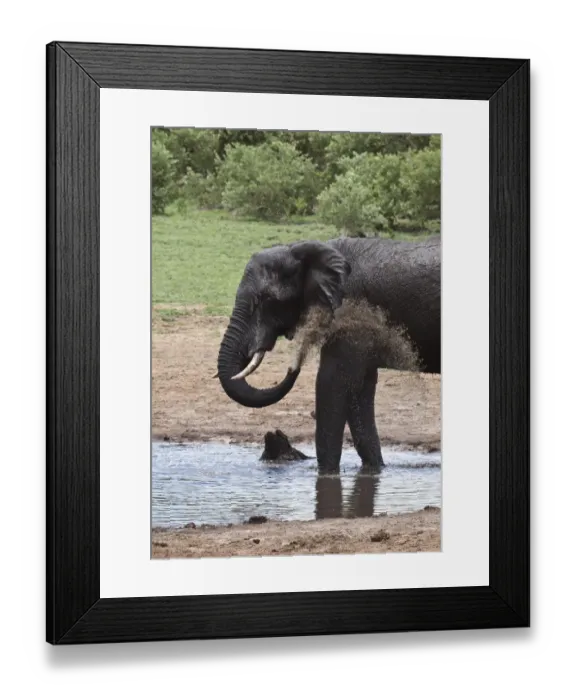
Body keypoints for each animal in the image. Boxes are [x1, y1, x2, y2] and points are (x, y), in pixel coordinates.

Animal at [216, 235, 440, 472]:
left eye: (266, 299)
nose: (293, 366)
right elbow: (360, 389)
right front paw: (373, 470)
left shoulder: (349, 311)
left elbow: (331, 382)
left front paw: (326, 474)